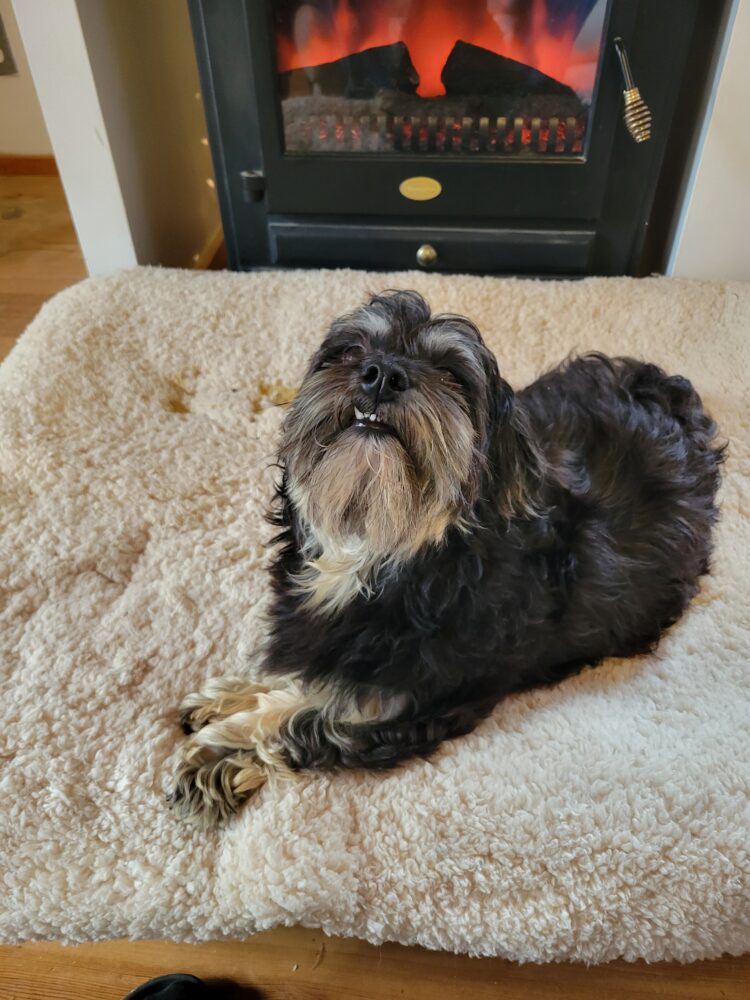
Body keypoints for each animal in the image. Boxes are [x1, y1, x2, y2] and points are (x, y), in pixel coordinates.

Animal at [169, 290, 723, 824]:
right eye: (351, 350)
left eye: (451, 373)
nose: (381, 373)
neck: (379, 553)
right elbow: (294, 671)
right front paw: (231, 695)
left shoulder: (405, 709)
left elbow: (304, 717)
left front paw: (221, 752)